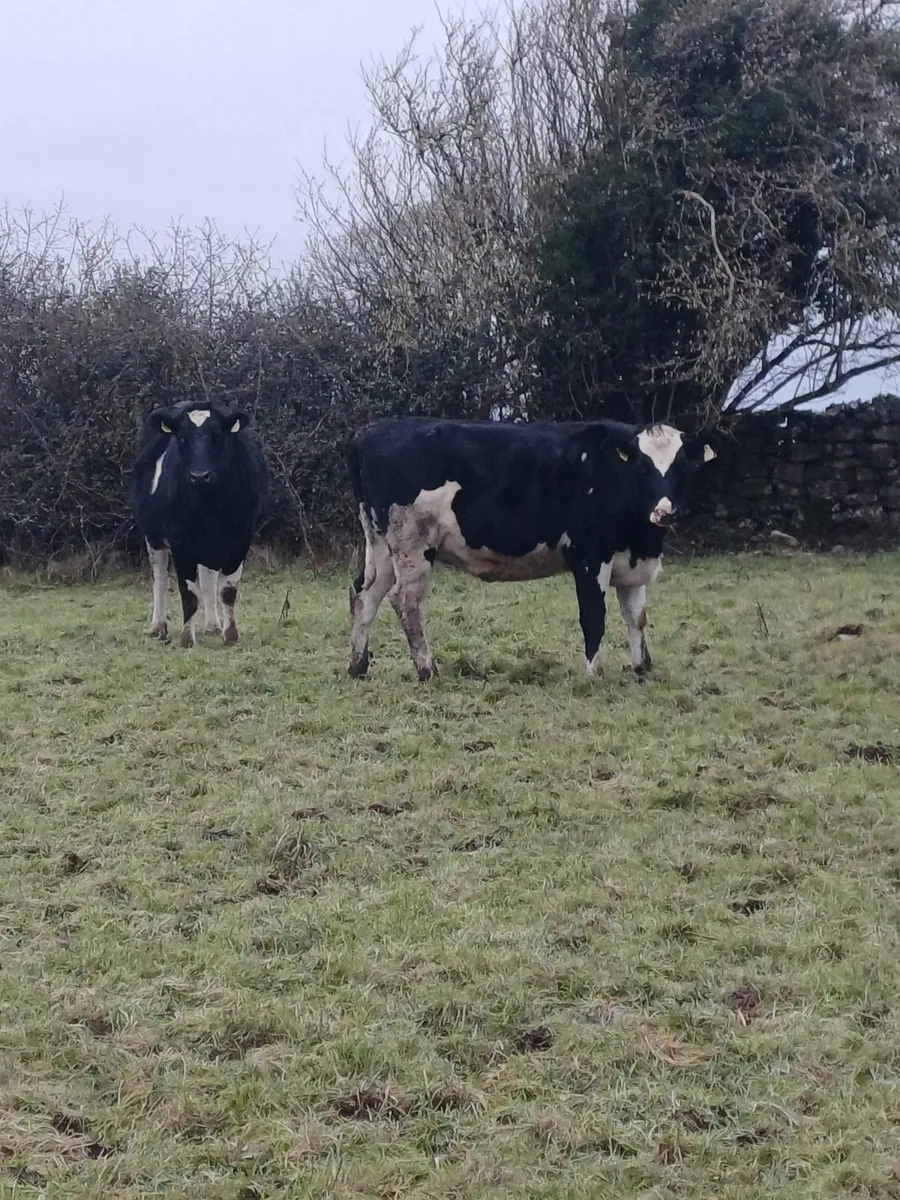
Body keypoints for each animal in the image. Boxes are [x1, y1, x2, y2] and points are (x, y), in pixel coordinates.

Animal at [129, 398, 269, 648]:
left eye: (217, 435)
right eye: (182, 438)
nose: (200, 475)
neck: (210, 505)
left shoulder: (240, 539)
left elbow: (227, 590)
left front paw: (230, 635)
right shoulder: (181, 542)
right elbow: (189, 593)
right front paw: (187, 638)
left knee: (208, 578)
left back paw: (213, 625)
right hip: (153, 536)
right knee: (160, 577)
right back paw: (158, 627)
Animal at [346, 416, 717, 682]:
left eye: (683, 467)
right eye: (643, 467)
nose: (666, 511)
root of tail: (370, 432)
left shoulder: (631, 563)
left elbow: (636, 617)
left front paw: (642, 668)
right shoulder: (589, 555)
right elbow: (594, 615)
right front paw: (594, 673)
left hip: (381, 545)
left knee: (365, 593)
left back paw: (358, 666)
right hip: (412, 544)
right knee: (405, 601)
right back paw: (427, 669)